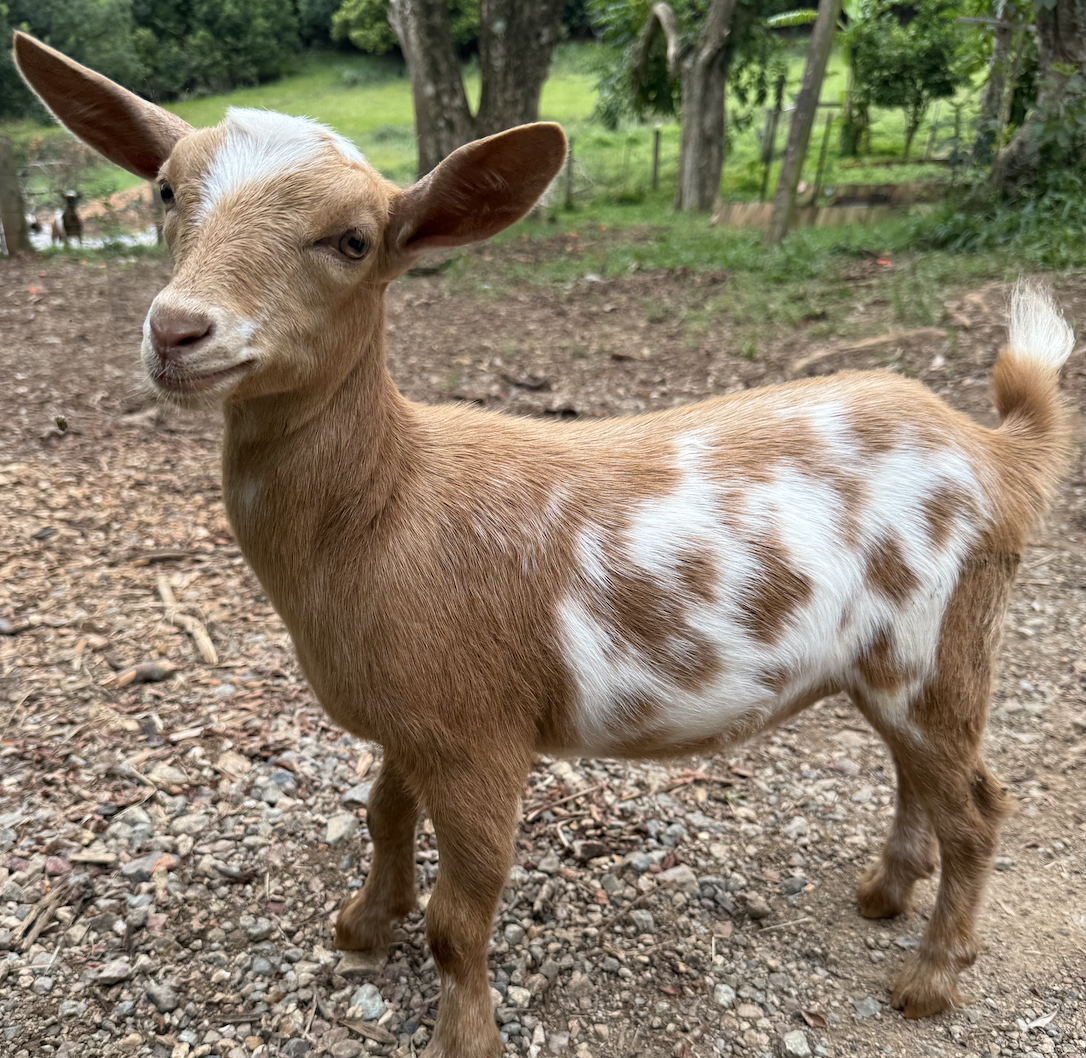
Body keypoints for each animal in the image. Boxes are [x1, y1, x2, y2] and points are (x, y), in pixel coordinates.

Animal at [15, 32, 1076, 1057]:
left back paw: (928, 979)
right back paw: (883, 895)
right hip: (890, 660)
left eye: (352, 241)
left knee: (979, 806)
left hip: (935, 643)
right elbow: (383, 814)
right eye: (165, 192)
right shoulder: (417, 712)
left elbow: (463, 915)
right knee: (918, 777)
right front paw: (364, 925)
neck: (386, 508)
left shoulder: (481, 731)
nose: (179, 331)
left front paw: (463, 1034)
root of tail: (998, 451)